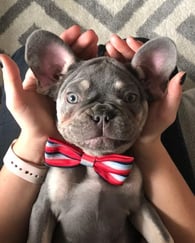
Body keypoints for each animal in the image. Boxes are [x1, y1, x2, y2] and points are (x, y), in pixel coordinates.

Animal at [25, 30, 177, 243]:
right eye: (72, 98)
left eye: (131, 97)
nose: (103, 113)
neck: (95, 161)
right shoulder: (44, 207)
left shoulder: (140, 206)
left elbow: (161, 235)